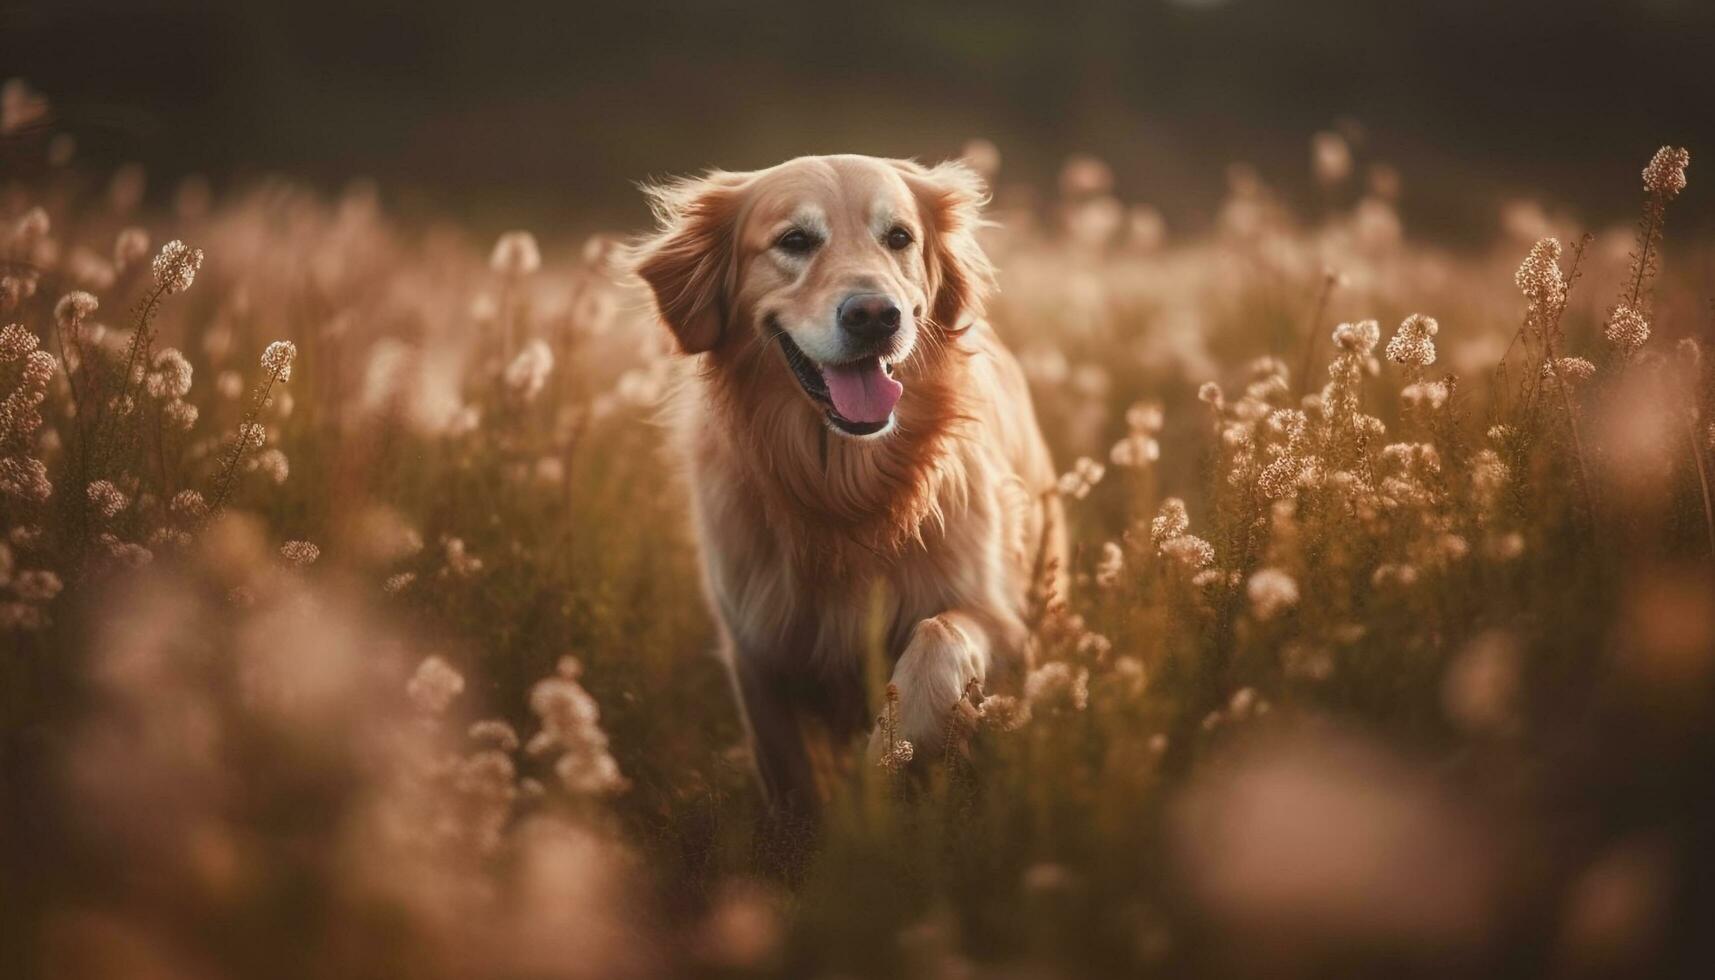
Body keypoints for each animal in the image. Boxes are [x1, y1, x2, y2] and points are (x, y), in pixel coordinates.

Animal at [631, 155, 1056, 813]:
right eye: (795, 241)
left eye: (899, 237)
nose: (876, 316)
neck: (845, 485)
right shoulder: (759, 655)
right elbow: (791, 778)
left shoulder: (1007, 625)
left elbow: (935, 638)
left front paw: (887, 758)